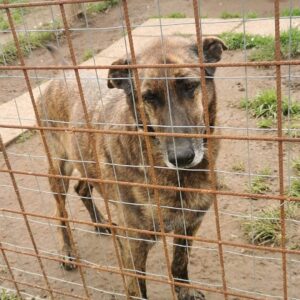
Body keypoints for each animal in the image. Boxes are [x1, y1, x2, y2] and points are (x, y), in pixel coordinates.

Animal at [38, 37, 225, 300]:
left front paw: (185, 292)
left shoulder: (189, 224)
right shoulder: (133, 244)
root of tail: (63, 73)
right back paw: (67, 250)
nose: (182, 157)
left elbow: (180, 263)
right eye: (149, 97)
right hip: (59, 168)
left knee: (82, 188)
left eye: (190, 86)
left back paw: (101, 222)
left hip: (85, 162)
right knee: (60, 211)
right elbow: (137, 289)